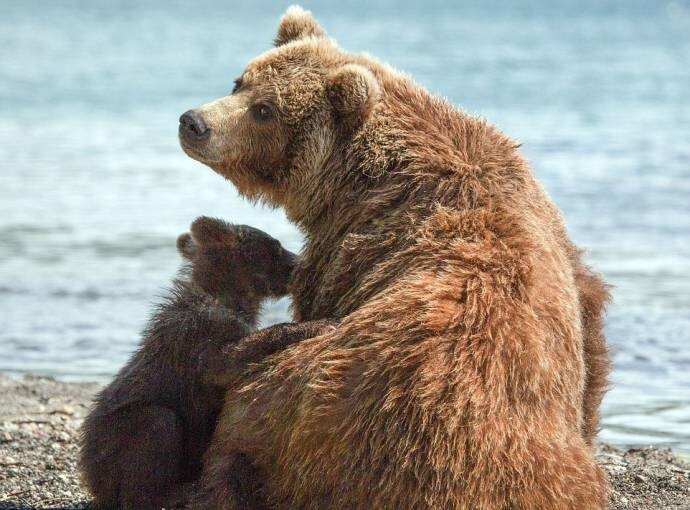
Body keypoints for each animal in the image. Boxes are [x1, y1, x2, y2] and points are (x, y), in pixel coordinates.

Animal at [78, 218, 328, 510]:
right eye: (275, 246)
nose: (302, 264)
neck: (229, 296)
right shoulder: (201, 338)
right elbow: (228, 360)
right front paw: (317, 324)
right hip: (110, 443)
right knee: (156, 423)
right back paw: (171, 492)